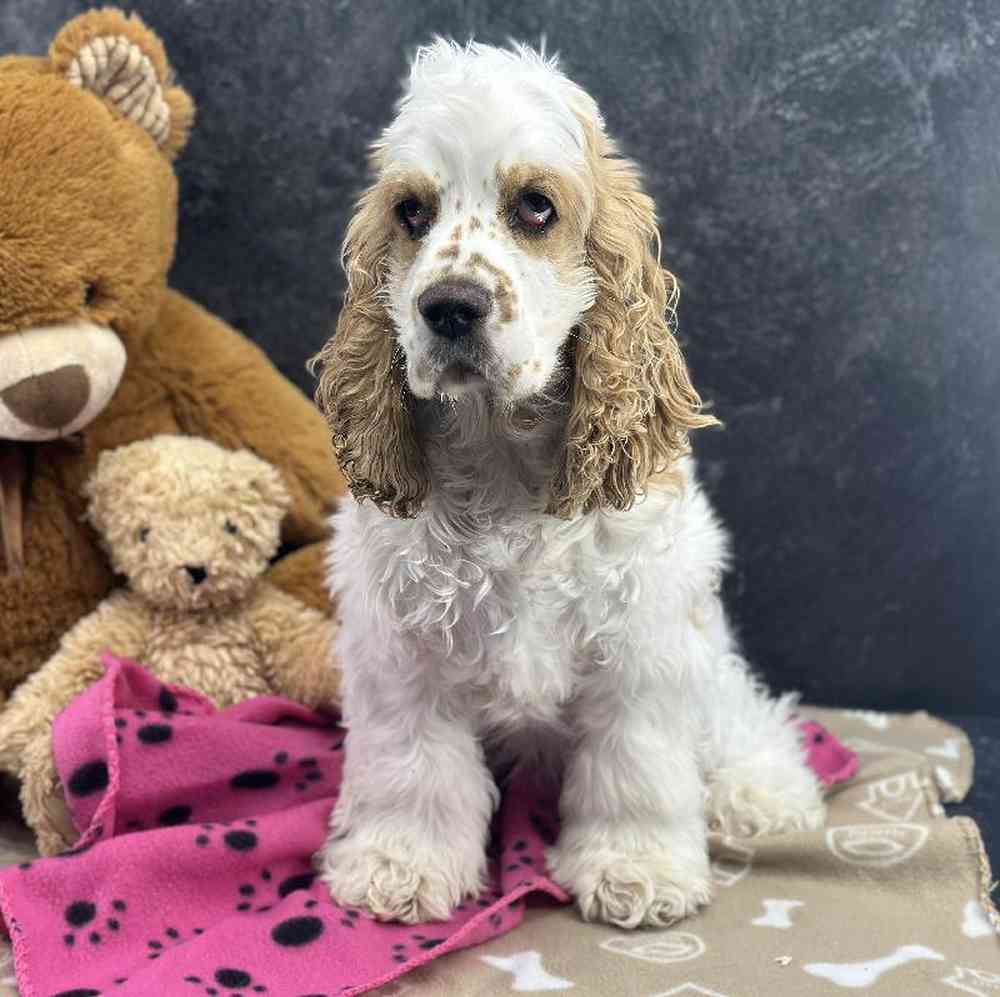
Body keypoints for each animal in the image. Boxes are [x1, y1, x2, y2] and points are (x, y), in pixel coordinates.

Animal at [310, 37, 820, 924]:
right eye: (411, 213)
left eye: (537, 207)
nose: (450, 307)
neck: (503, 458)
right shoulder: (402, 648)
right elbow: (413, 769)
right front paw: (400, 864)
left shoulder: (642, 643)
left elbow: (635, 771)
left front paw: (636, 868)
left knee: (740, 716)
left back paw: (763, 793)